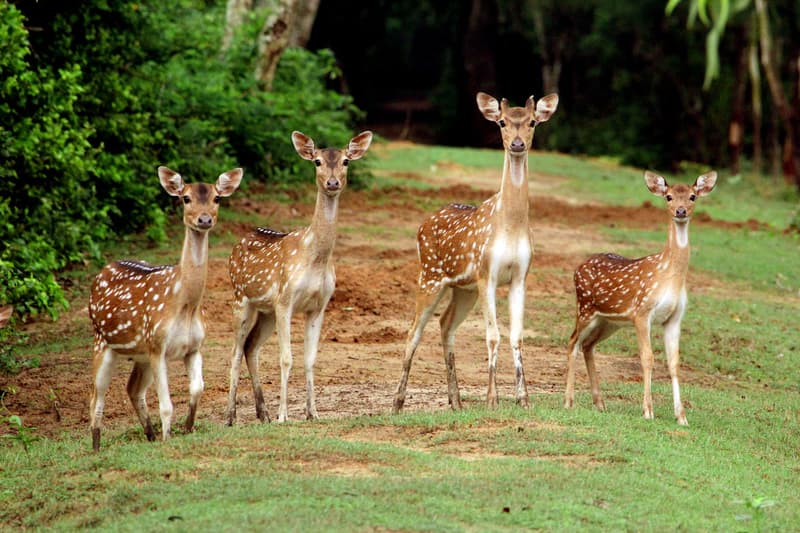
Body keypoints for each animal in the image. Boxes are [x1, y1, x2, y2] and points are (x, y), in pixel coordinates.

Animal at [88, 166, 242, 451]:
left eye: (216, 198)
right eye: (185, 198)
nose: (204, 219)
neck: (185, 304)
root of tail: (102, 271)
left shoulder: (194, 347)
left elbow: (197, 388)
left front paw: (188, 427)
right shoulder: (158, 346)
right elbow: (167, 405)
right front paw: (167, 437)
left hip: (140, 353)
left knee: (133, 389)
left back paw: (148, 435)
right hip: (103, 342)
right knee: (96, 397)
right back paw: (96, 447)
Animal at [226, 130, 373, 425]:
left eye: (346, 161)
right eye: (317, 161)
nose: (332, 182)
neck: (315, 259)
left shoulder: (318, 305)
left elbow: (310, 358)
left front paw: (312, 412)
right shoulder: (285, 300)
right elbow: (286, 358)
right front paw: (284, 415)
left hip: (266, 311)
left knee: (250, 348)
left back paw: (263, 413)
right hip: (241, 299)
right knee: (235, 352)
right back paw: (232, 417)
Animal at [393, 91, 559, 413]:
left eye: (532, 122)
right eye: (503, 122)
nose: (517, 143)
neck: (510, 225)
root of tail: (421, 225)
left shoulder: (520, 276)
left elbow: (517, 336)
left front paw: (523, 398)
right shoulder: (487, 274)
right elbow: (492, 336)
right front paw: (492, 399)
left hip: (463, 288)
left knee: (445, 325)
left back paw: (456, 401)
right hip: (430, 276)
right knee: (413, 331)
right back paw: (397, 403)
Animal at [564, 170, 718, 425]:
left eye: (693, 196)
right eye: (668, 196)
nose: (680, 211)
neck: (668, 276)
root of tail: (577, 268)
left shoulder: (674, 318)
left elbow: (674, 363)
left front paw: (681, 417)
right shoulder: (642, 312)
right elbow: (647, 358)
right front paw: (648, 411)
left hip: (609, 321)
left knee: (587, 345)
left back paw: (600, 403)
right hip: (584, 308)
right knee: (572, 341)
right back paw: (568, 401)